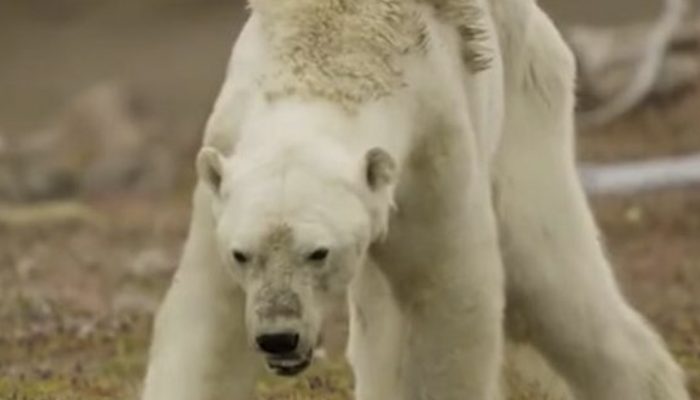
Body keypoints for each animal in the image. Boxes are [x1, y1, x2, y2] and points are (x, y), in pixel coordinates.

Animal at [141, 0, 691, 399]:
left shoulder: (433, 152)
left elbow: (449, 301)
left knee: (551, 285)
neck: (332, 52)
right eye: (242, 254)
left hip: (527, 110)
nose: (279, 336)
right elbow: (207, 324)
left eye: (318, 252)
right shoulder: (224, 162)